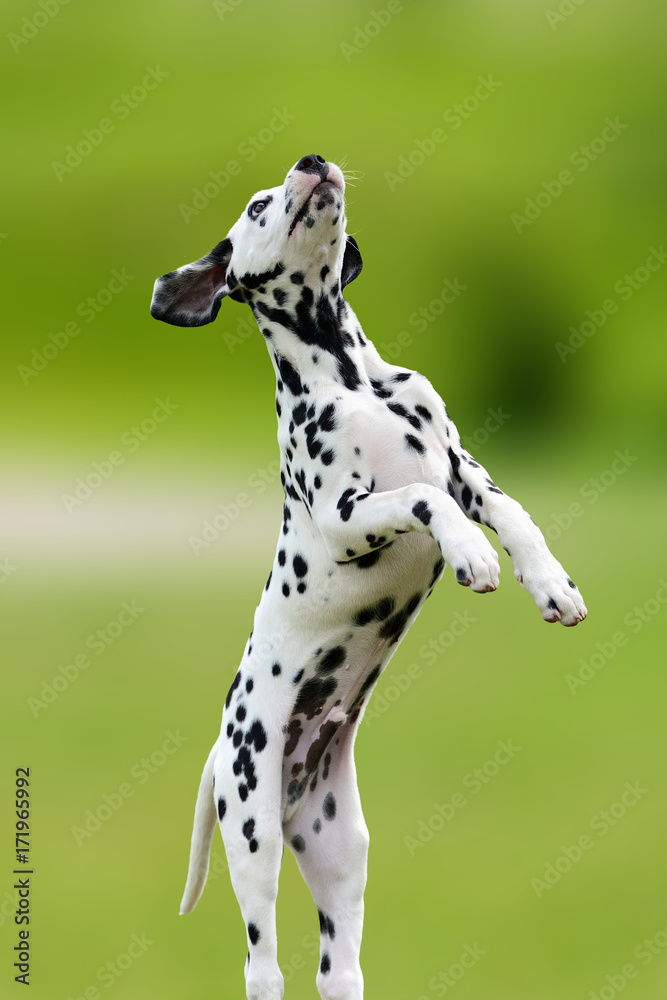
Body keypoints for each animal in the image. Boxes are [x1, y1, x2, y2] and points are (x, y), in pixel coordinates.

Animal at [153, 152, 588, 996]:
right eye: (257, 205)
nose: (312, 160)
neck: (352, 378)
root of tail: (225, 754)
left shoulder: (463, 470)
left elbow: (514, 513)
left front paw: (550, 584)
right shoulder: (347, 513)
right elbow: (419, 500)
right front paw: (470, 555)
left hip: (341, 856)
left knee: (339, 971)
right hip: (252, 838)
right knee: (262, 967)